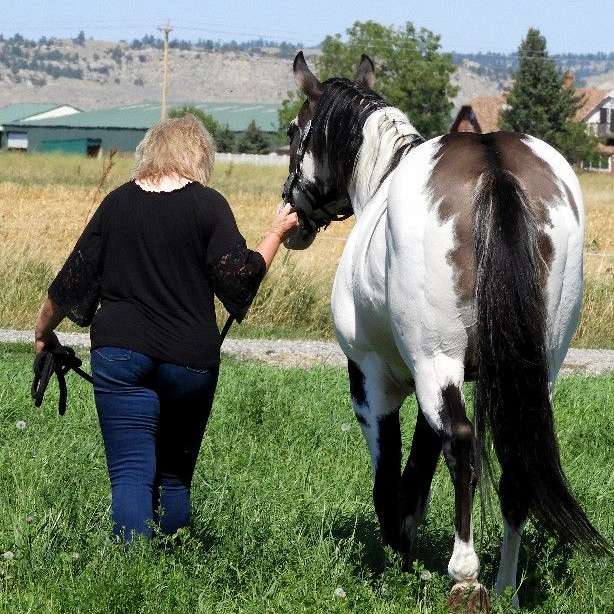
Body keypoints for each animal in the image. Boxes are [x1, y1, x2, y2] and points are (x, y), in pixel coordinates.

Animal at [284, 51, 612, 612]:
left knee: (462, 448)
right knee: (515, 457)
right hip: (533, 372)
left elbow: (392, 477)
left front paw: (398, 550)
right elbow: (419, 471)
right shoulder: (440, 384)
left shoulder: (376, 381)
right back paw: (504, 585)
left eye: (293, 130)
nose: (290, 210)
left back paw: (465, 575)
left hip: (437, 362)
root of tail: (493, 164)